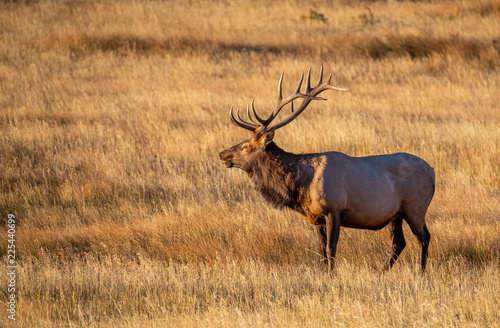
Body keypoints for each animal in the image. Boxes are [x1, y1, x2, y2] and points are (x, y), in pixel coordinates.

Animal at [219, 66, 434, 272]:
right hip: (394, 214)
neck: (303, 185)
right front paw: (324, 273)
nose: (222, 154)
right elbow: (321, 250)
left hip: (416, 207)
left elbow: (332, 248)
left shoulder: (333, 209)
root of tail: (432, 171)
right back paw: (382, 272)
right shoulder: (316, 217)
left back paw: (421, 272)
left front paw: (332, 274)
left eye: (245, 146)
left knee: (424, 237)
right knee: (398, 243)